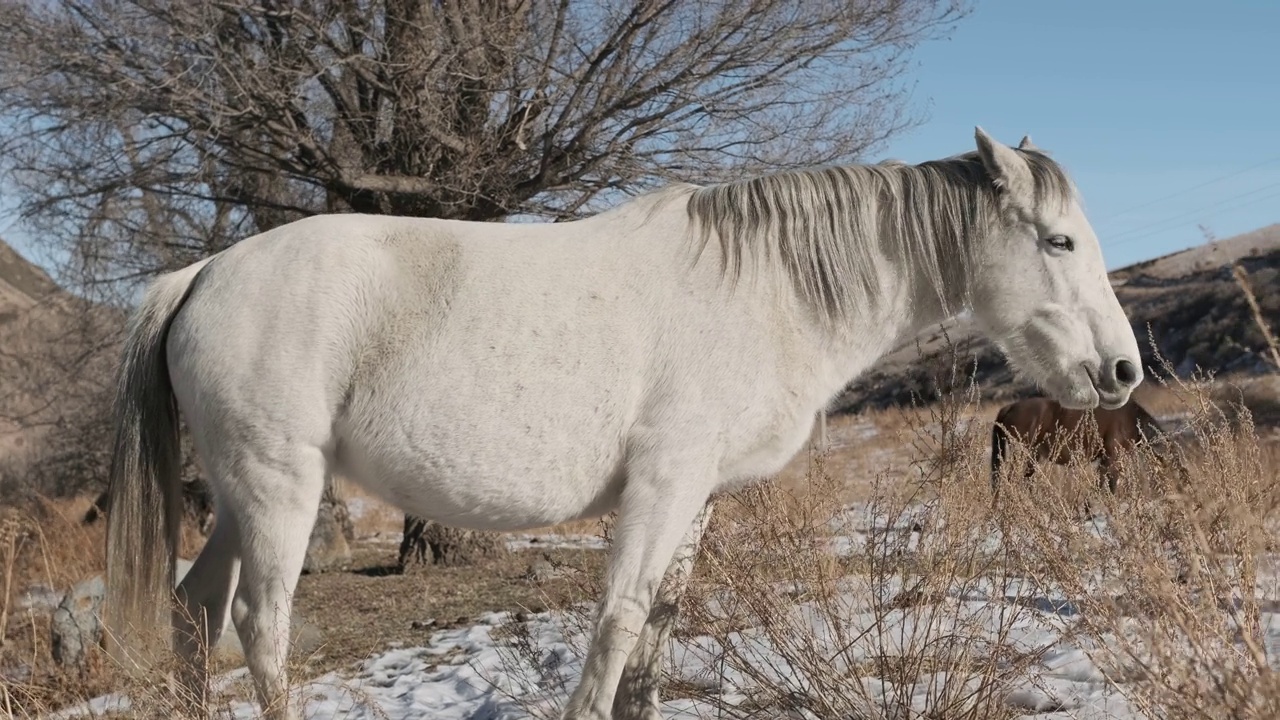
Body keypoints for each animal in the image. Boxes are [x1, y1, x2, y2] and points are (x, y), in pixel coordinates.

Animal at [99, 128, 1141, 717]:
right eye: (1058, 241)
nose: (1122, 371)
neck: (764, 288)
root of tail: (202, 273)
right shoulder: (661, 487)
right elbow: (618, 624)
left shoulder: (697, 501)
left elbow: (656, 635)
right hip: (281, 489)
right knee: (259, 626)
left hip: (242, 496)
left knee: (195, 611)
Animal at [988, 394, 1172, 497]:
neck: (1131, 420)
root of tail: (1008, 408)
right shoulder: (1110, 460)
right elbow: (1105, 487)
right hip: (1022, 454)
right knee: (1011, 481)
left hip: (1032, 457)